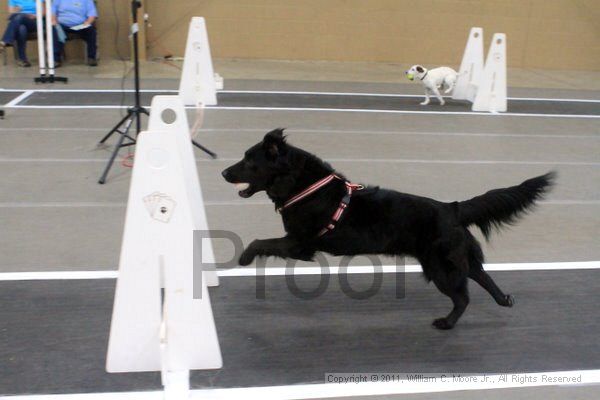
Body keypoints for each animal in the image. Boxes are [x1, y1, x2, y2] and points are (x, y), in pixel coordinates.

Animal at [223, 130, 556, 330]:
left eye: (249, 160)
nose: (224, 172)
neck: (305, 186)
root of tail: (452, 207)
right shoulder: (298, 243)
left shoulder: (299, 244)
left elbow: (260, 242)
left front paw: (244, 258)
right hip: (456, 258)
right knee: (483, 276)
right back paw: (503, 300)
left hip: (439, 266)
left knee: (463, 297)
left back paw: (447, 323)